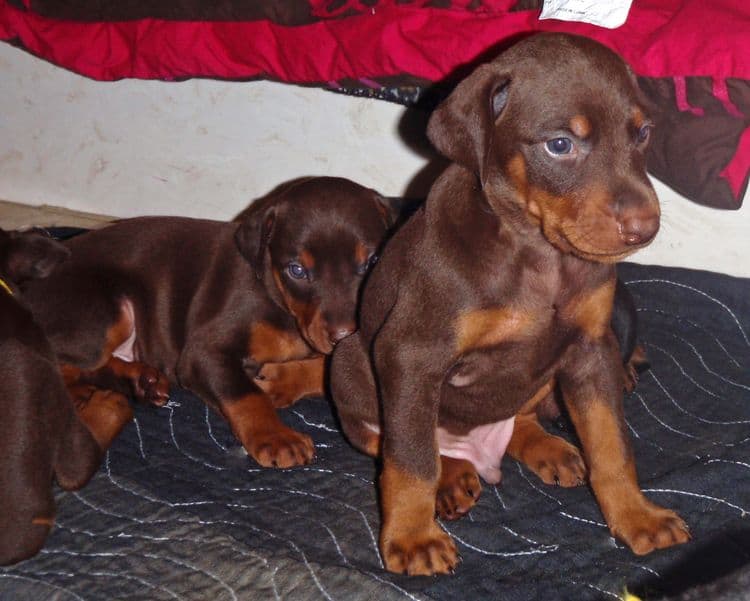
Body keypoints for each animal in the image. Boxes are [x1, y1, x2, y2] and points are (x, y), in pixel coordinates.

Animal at [22, 178, 394, 468]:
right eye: (297, 270)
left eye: (373, 260)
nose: (344, 335)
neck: (278, 301)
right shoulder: (204, 352)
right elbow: (245, 394)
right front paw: (276, 436)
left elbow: (331, 370)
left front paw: (281, 381)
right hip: (106, 309)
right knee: (62, 362)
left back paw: (141, 381)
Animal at [332, 34, 692, 576]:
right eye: (560, 144)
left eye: (644, 133)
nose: (645, 228)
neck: (538, 253)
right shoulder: (411, 354)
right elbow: (411, 460)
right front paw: (414, 538)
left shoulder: (591, 349)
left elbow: (611, 442)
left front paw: (636, 516)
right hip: (351, 361)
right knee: (402, 443)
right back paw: (452, 477)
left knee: (518, 415)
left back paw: (546, 447)